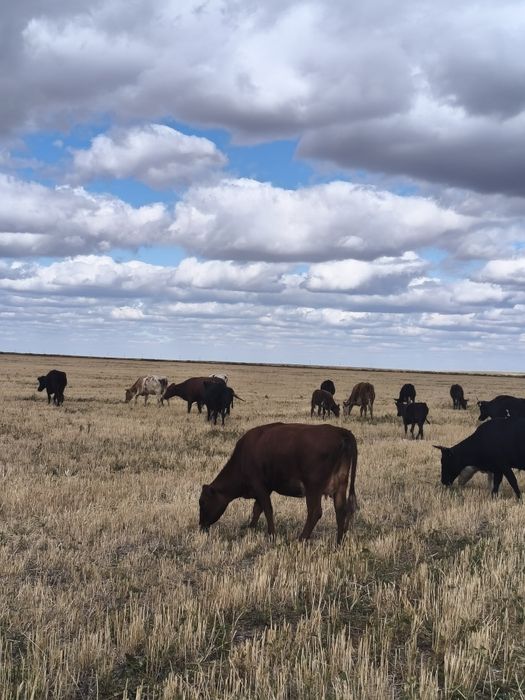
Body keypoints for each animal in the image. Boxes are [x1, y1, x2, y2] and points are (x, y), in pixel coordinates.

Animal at [199, 422, 358, 544]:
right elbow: (257, 509)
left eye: (202, 502)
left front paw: (271, 535)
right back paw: (339, 542)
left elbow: (267, 509)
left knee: (315, 512)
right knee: (340, 510)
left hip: (313, 487)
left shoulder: (259, 485)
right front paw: (250, 527)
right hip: (340, 485)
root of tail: (340, 431)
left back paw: (301, 539)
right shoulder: (266, 488)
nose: (201, 526)